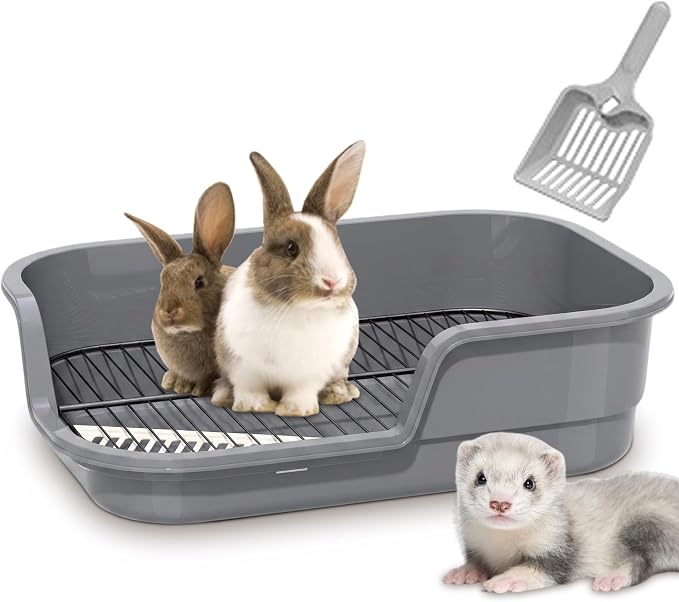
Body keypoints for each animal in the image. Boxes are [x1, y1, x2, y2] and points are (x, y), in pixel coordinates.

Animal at [211, 141, 366, 417]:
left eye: (337, 244)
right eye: (291, 248)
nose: (331, 282)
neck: (296, 309)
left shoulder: (308, 373)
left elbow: (301, 392)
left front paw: (297, 410)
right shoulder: (243, 367)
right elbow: (250, 389)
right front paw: (255, 406)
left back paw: (339, 393)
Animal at [443, 432, 679, 593]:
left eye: (530, 482)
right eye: (480, 477)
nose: (500, 502)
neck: (500, 547)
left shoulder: (558, 547)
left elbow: (546, 570)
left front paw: (508, 579)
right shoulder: (474, 544)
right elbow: (476, 560)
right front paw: (465, 571)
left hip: (646, 521)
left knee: (641, 561)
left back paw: (613, 577)